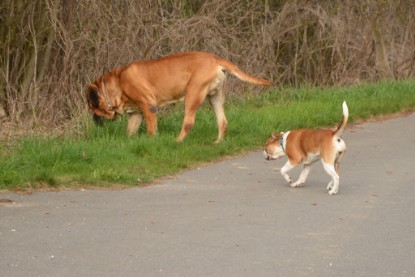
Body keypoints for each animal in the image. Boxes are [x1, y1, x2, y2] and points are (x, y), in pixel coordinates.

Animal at [85, 51, 272, 142]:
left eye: (93, 107)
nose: (93, 119)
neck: (116, 84)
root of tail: (215, 59)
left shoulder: (148, 105)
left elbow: (151, 129)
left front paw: (153, 141)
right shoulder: (136, 113)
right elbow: (130, 130)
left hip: (192, 93)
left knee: (188, 123)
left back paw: (177, 141)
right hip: (215, 98)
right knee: (222, 121)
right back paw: (218, 142)